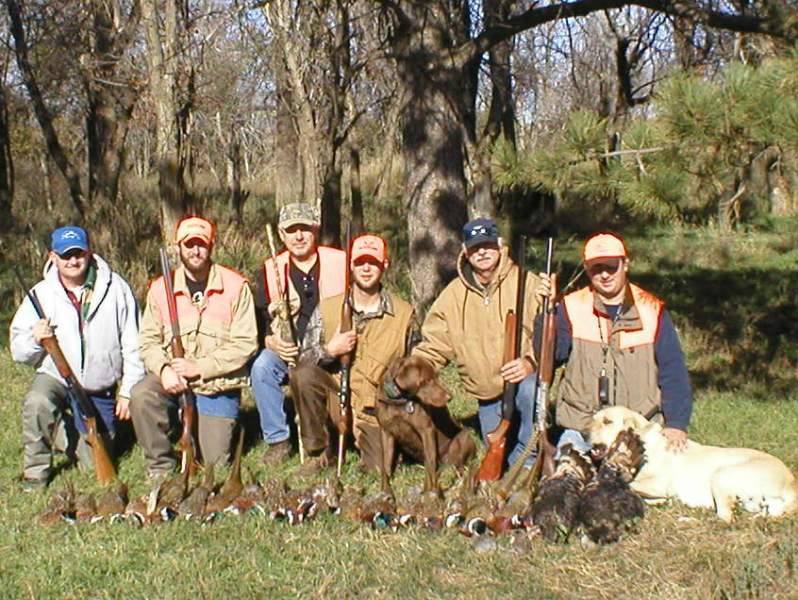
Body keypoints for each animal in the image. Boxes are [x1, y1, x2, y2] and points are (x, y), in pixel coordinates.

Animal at [376, 356, 476, 496]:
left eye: (437, 376)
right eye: (427, 380)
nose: (449, 397)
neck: (399, 401)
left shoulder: (427, 430)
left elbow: (430, 462)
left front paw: (429, 490)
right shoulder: (386, 432)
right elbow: (385, 465)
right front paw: (385, 490)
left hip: (462, 438)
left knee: (458, 466)